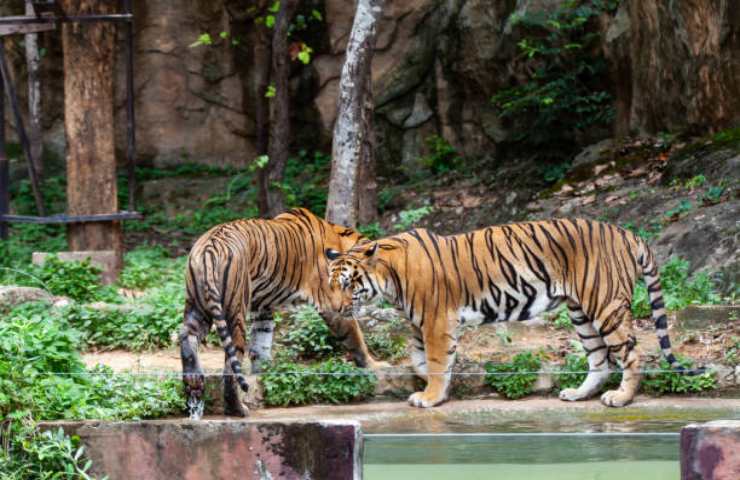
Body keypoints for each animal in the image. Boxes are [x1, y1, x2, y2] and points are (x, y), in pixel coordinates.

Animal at [179, 207, 382, 416]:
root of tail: (209, 246)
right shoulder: (332, 305)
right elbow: (355, 338)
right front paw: (373, 366)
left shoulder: (263, 307)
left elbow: (261, 344)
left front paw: (266, 374)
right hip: (235, 310)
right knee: (230, 364)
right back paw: (237, 409)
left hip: (197, 305)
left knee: (187, 336)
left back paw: (194, 387)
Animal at [326, 218, 696, 408]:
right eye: (330, 283)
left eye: (348, 283)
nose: (333, 308)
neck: (390, 279)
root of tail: (627, 233)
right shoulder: (420, 325)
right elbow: (422, 360)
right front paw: (432, 388)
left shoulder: (435, 321)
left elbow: (436, 361)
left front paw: (430, 397)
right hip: (581, 313)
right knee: (599, 360)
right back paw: (578, 394)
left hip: (605, 305)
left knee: (632, 354)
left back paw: (621, 398)